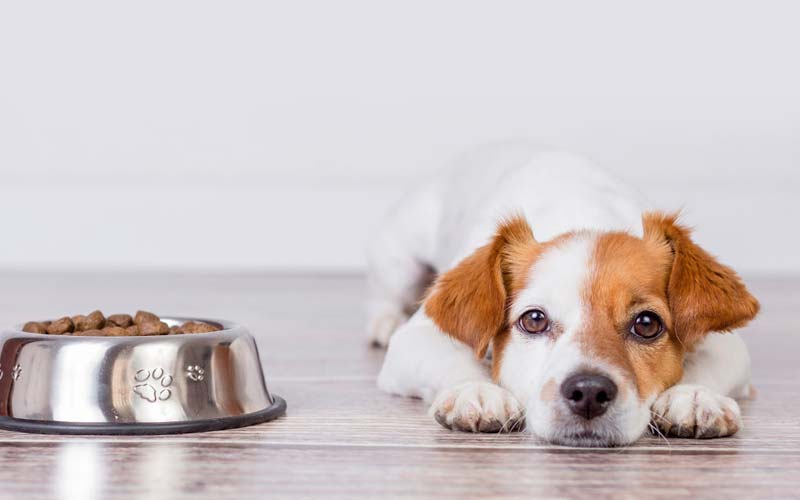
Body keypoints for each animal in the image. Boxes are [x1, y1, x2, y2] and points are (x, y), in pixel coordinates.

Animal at [366, 144, 760, 446]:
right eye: (533, 320)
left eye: (647, 324)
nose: (589, 393)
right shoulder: (417, 338)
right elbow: (452, 358)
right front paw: (475, 390)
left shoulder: (725, 343)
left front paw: (692, 395)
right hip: (402, 259)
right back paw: (383, 322)